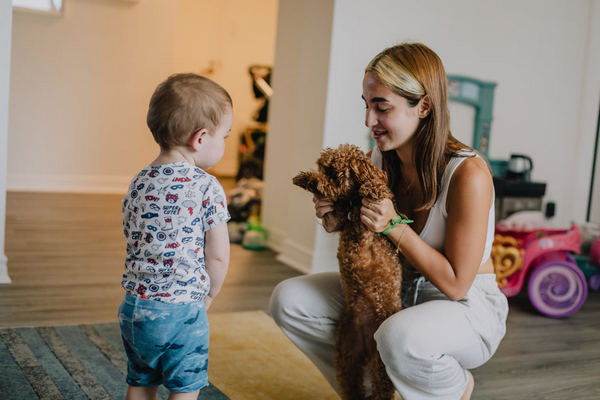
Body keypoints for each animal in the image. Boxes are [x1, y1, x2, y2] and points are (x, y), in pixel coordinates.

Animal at [292, 144, 400, 400]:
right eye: (322, 167)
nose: (317, 180)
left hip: (380, 365)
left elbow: (376, 190)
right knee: (352, 387)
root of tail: (367, 342)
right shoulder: (345, 221)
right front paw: (304, 178)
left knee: (382, 390)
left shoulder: (364, 228)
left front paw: (372, 187)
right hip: (346, 355)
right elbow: (340, 214)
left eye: (334, 173)